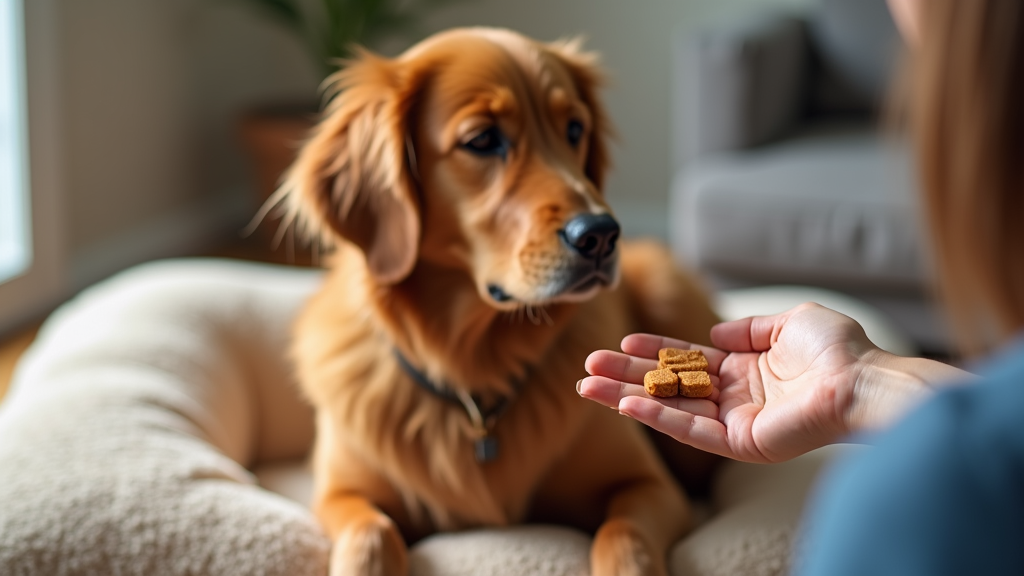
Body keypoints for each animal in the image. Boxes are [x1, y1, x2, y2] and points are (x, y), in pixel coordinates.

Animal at [274, 25, 720, 573]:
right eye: (483, 140)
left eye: (575, 129)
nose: (601, 234)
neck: (474, 373)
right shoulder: (337, 494)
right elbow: (370, 535)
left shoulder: (650, 486)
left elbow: (623, 536)